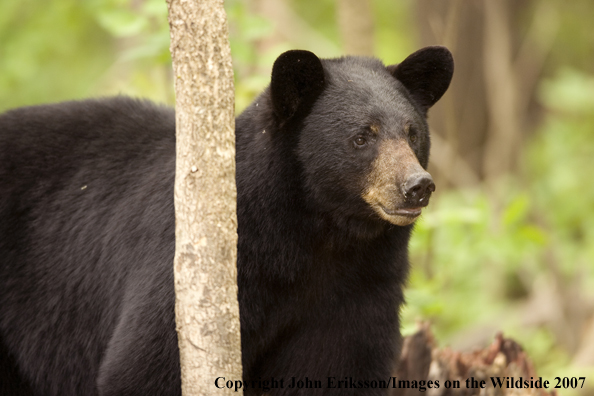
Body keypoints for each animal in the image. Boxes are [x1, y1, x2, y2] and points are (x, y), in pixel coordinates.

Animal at [0, 45, 450, 392]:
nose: (417, 186)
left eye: (411, 133)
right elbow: (144, 364)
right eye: (361, 137)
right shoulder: (198, 272)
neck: (318, 238)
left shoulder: (361, 290)